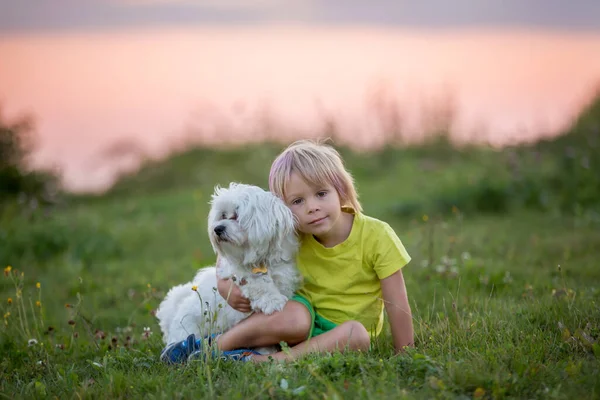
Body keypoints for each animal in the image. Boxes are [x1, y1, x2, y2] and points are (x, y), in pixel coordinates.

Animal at [157, 182, 302, 350]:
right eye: (223, 216)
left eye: (236, 216)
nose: (217, 229)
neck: (261, 260)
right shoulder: (237, 275)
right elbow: (257, 283)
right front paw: (273, 301)